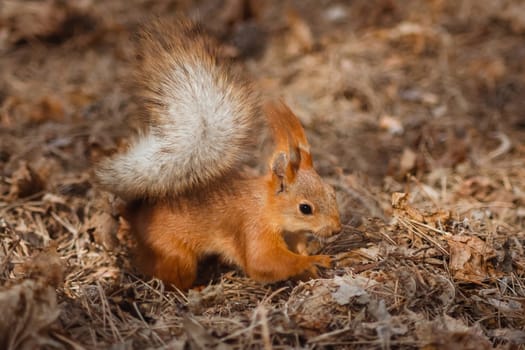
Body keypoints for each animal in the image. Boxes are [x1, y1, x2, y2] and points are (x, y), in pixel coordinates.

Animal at [95, 19, 340, 292]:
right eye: (305, 208)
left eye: (332, 192)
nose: (337, 229)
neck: (268, 207)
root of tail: (136, 214)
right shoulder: (254, 228)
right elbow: (263, 262)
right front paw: (316, 260)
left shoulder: (292, 234)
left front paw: (309, 263)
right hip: (177, 255)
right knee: (166, 278)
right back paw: (196, 288)